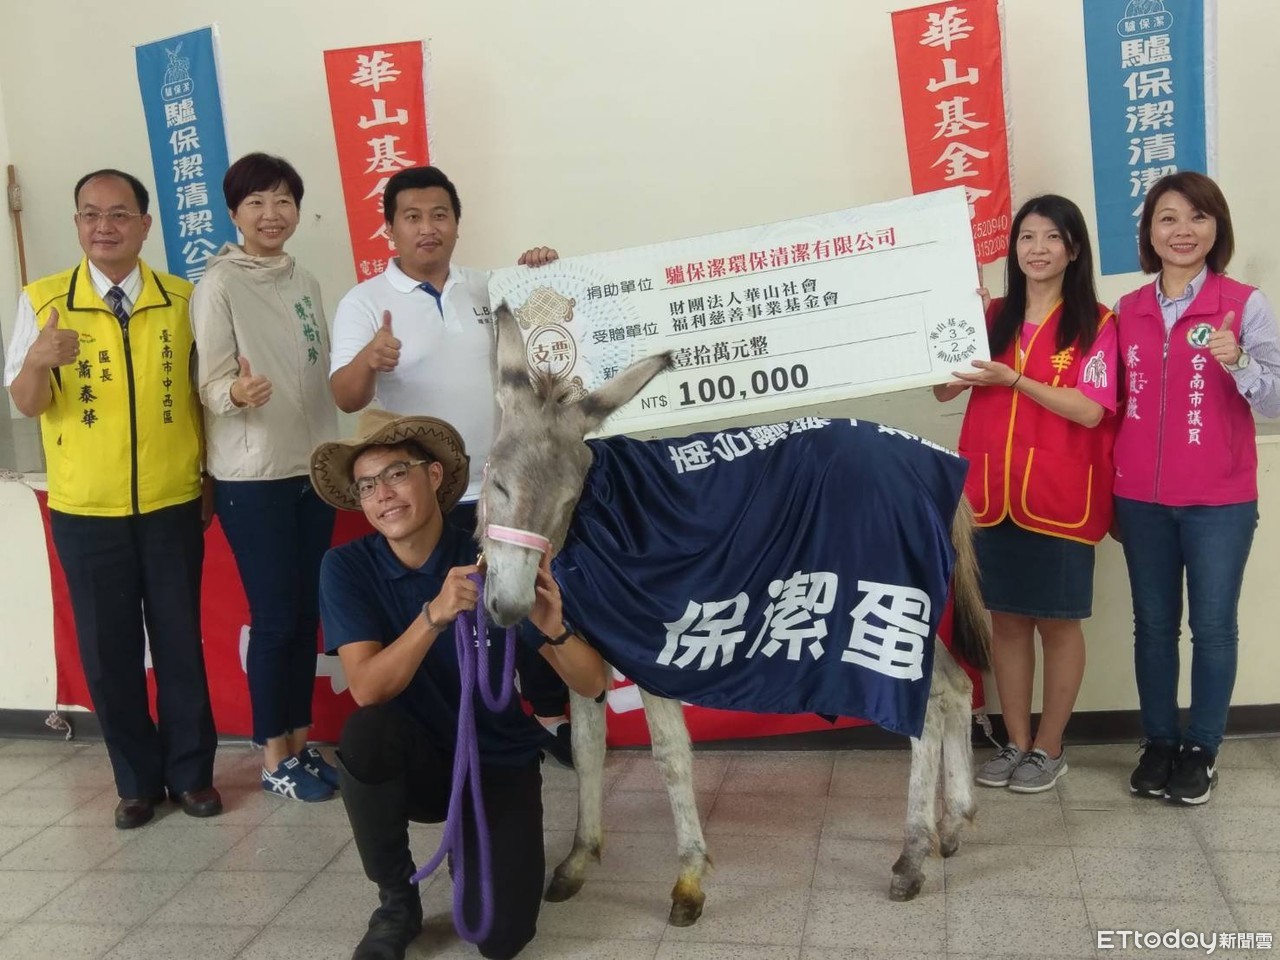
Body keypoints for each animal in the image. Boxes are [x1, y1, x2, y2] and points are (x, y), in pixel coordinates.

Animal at [478, 303, 990, 923]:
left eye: (566, 499)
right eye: (498, 484)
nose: (510, 607)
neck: (604, 520)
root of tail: (932, 465)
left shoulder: (659, 644)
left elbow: (671, 757)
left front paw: (689, 880)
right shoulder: (590, 647)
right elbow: (586, 749)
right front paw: (578, 859)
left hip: (886, 610)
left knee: (926, 710)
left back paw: (913, 856)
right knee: (955, 688)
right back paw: (954, 825)